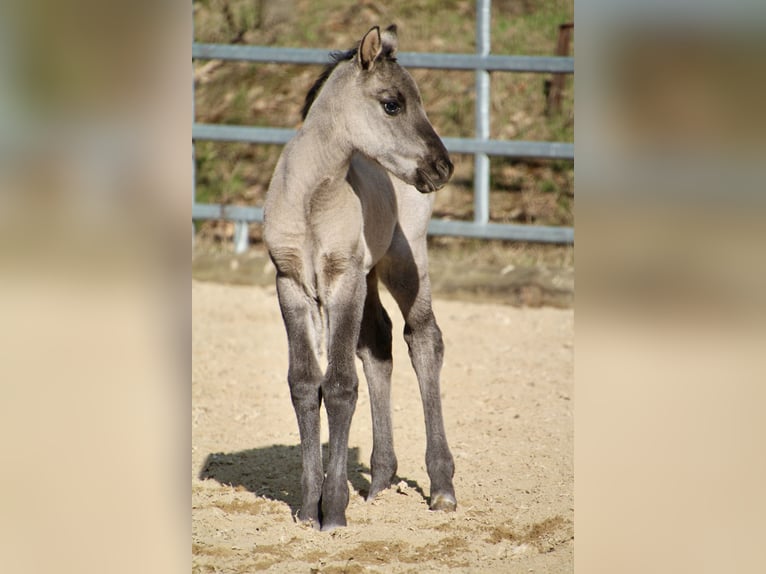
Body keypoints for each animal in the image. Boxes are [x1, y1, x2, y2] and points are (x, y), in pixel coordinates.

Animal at [263, 24, 456, 531]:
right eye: (392, 104)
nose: (443, 167)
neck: (310, 199)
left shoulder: (342, 281)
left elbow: (340, 386)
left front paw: (332, 510)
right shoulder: (290, 284)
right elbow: (304, 383)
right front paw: (308, 507)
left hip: (404, 263)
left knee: (423, 340)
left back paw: (442, 486)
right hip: (369, 279)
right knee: (378, 345)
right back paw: (380, 479)